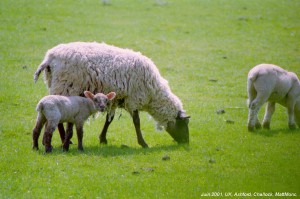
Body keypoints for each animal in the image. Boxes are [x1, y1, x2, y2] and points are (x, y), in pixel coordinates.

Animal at [33, 41, 190, 148]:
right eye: (184, 124)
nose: (186, 143)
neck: (153, 94)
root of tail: (49, 58)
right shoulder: (133, 99)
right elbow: (137, 122)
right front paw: (143, 143)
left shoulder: (116, 99)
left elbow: (110, 119)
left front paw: (103, 138)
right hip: (64, 87)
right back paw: (65, 139)